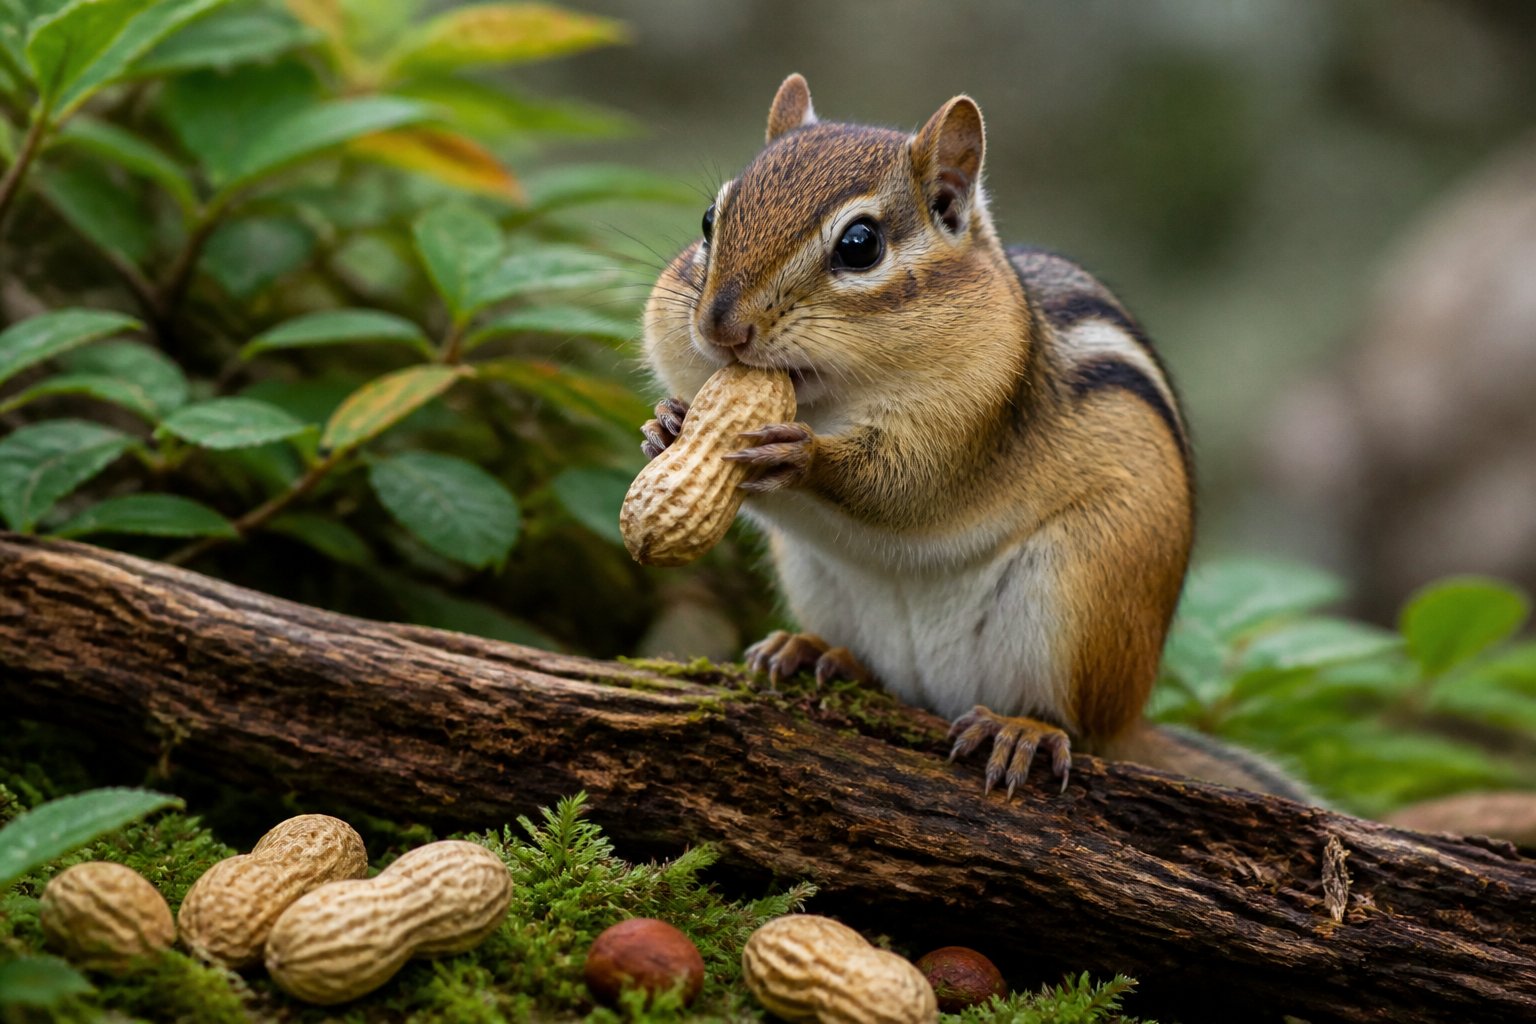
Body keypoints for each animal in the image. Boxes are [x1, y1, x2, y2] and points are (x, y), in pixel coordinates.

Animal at [639, 73, 1310, 802]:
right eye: (710, 220)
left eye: (860, 245)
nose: (719, 327)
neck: (833, 397)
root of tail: (1130, 717)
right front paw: (666, 426)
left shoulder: (972, 418)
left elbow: (905, 484)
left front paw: (803, 455)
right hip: (821, 585)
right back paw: (817, 652)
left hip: (1080, 597)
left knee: (1075, 726)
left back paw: (1023, 730)